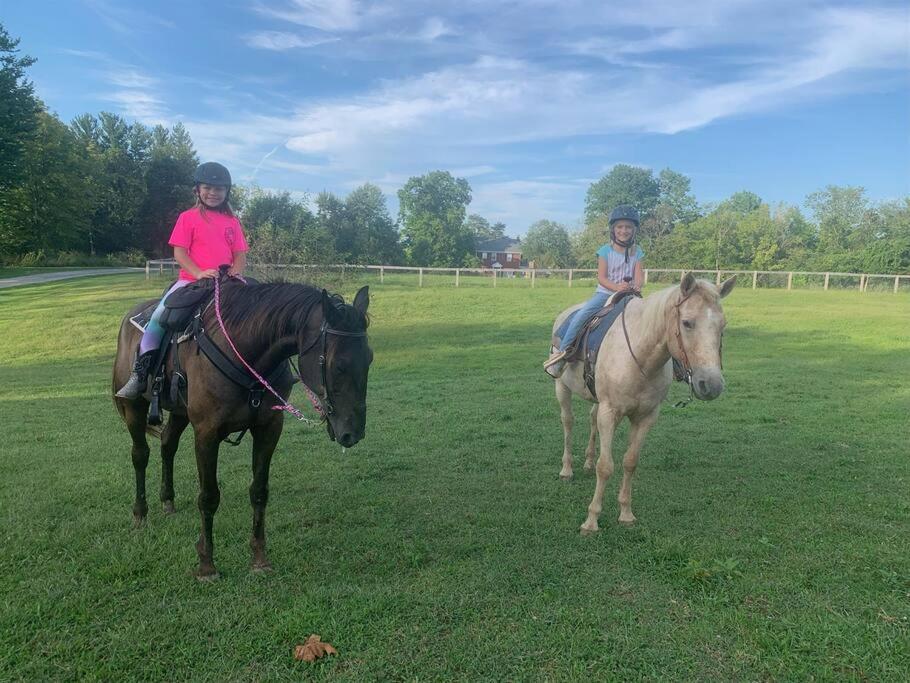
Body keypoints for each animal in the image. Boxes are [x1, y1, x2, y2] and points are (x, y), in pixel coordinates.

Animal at [113, 280, 370, 580]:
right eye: (338, 365)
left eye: (370, 359)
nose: (353, 432)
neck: (244, 352)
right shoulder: (207, 433)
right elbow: (208, 496)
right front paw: (207, 564)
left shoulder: (268, 429)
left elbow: (259, 491)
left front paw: (259, 559)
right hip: (134, 408)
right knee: (140, 455)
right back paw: (140, 514)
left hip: (178, 412)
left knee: (167, 445)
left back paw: (167, 501)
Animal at [552, 272, 736, 536]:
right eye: (687, 323)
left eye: (723, 325)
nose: (711, 385)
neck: (640, 357)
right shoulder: (610, 412)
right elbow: (605, 466)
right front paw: (591, 520)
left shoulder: (646, 416)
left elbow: (630, 462)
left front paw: (626, 514)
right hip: (562, 388)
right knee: (568, 422)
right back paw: (567, 470)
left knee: (591, 420)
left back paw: (586, 461)